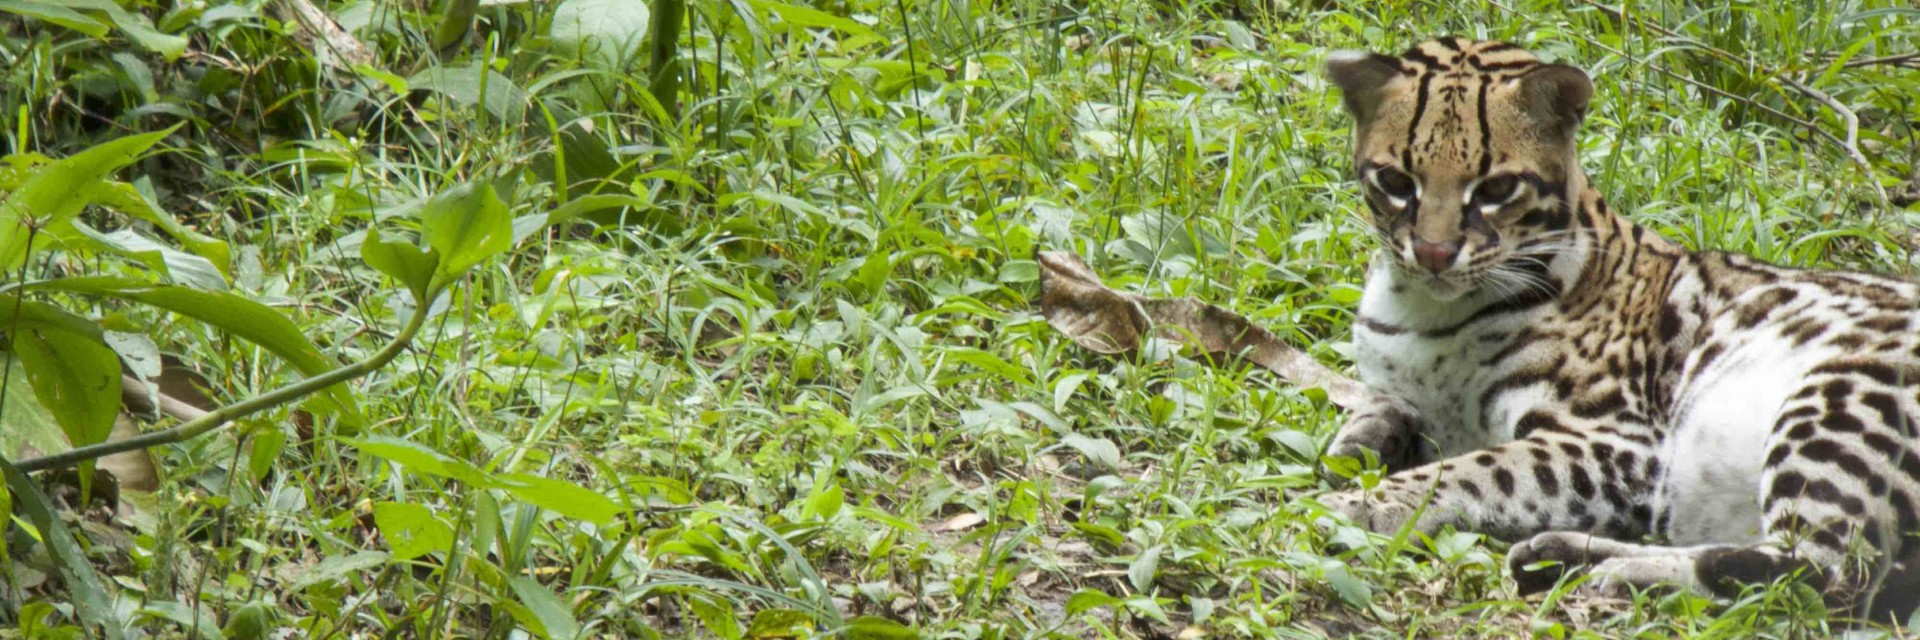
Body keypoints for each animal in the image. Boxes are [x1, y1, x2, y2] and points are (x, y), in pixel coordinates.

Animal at [1320, 37, 1920, 615]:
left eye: (1495, 190)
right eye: (1396, 181)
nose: (1434, 253)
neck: (1425, 310)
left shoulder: (1623, 443)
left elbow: (1480, 469)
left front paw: (1364, 502)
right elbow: (1380, 410)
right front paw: (1361, 444)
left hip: (1845, 393)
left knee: (1826, 572)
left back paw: (1613, 567)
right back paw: (1566, 554)